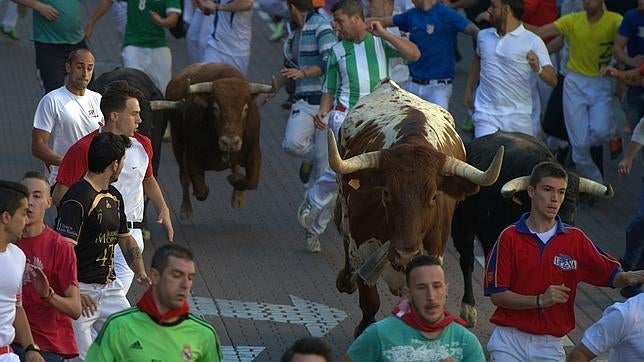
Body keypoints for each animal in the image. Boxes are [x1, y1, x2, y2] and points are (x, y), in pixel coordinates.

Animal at [328, 79, 504, 336]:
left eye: (433, 197)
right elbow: (370, 301)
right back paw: (345, 279)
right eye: (386, 194)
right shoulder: (361, 249)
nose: (406, 254)